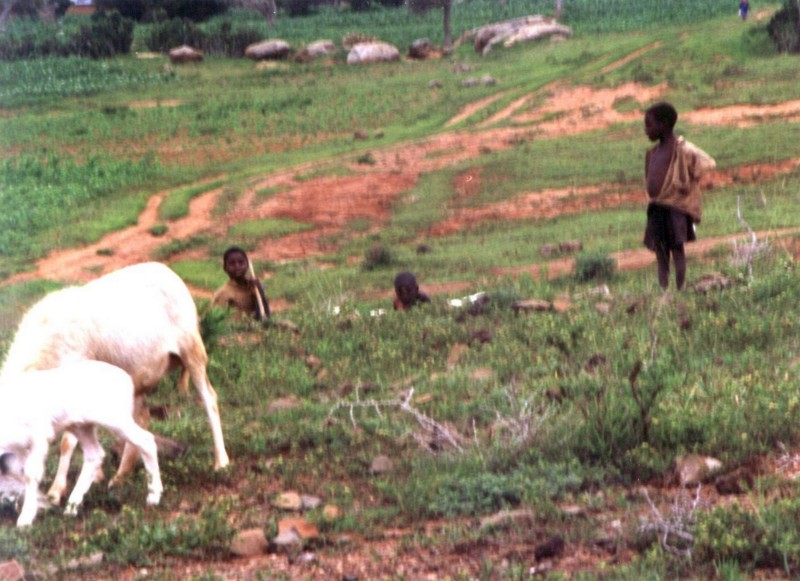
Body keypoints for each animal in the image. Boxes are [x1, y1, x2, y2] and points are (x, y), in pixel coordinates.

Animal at [0, 358, 162, 524]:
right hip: (81, 426)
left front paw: (25, 518)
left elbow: (30, 474)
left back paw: (154, 497)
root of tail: (128, 381)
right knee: (94, 454)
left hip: (116, 419)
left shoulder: (40, 436)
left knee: (146, 440)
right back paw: (71, 508)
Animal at [1, 262, 228, 502]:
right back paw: (121, 476)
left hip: (191, 349)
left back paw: (221, 461)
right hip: (139, 376)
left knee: (209, 399)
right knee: (142, 418)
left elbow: (67, 442)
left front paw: (56, 490)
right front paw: (95, 476)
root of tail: (166, 270)